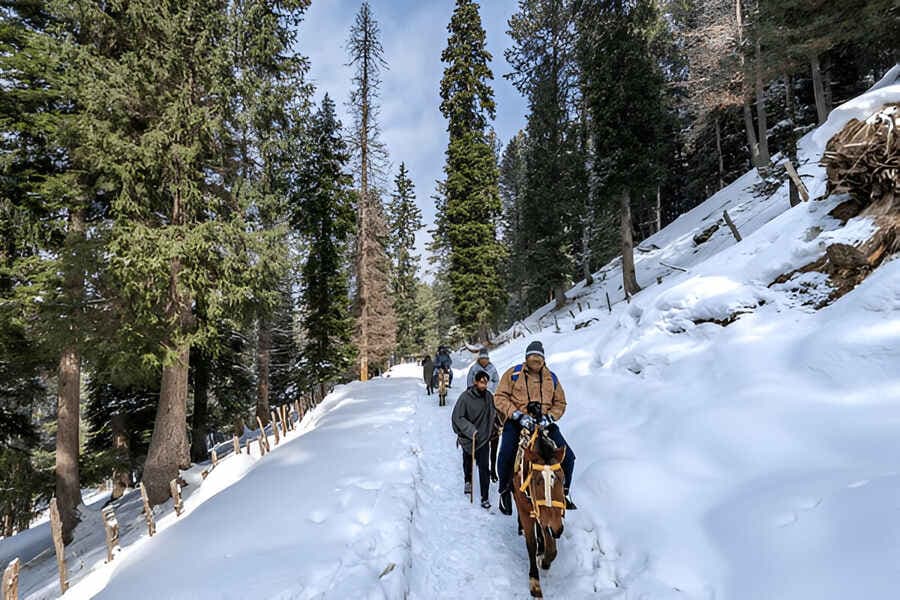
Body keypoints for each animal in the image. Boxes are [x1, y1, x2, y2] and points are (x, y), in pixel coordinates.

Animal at [513, 427, 567, 598]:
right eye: (537, 481)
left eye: (563, 478)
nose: (557, 529)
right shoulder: (527, 511)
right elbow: (531, 544)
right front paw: (534, 582)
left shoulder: (548, 517)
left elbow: (551, 547)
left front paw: (545, 560)